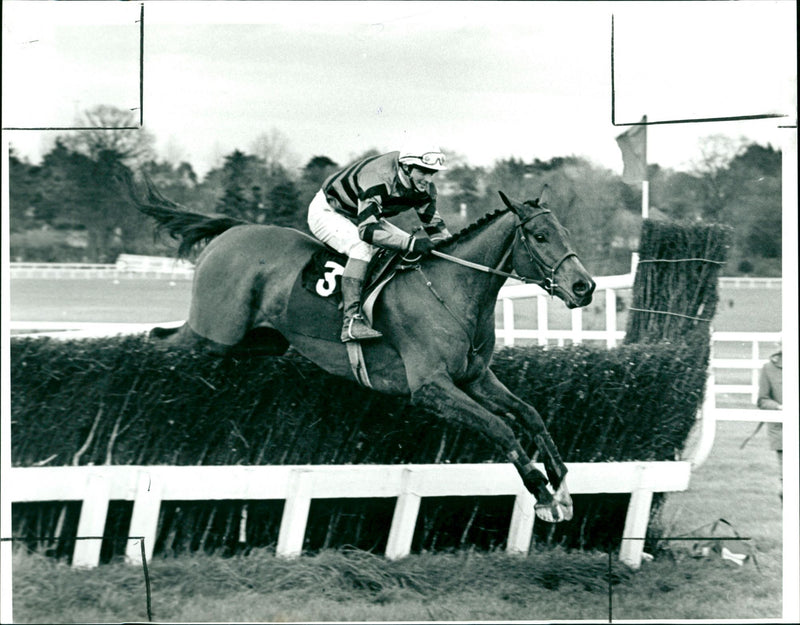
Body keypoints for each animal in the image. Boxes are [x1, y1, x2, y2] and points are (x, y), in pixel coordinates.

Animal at [126, 177, 592, 520]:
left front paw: (561, 482)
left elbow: (530, 414)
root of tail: (233, 231)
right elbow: (500, 427)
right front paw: (542, 493)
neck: (451, 289)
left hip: (259, 341)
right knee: (160, 341)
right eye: (540, 235)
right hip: (212, 332)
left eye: (567, 232)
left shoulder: (474, 377)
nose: (584, 287)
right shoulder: (430, 387)